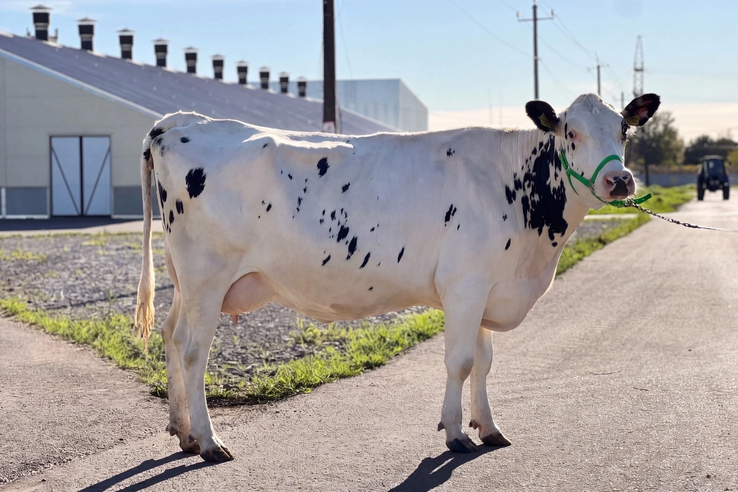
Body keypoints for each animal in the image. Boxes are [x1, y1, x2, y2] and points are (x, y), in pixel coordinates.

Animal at [136, 93, 660, 462]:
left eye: (623, 130)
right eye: (570, 132)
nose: (620, 180)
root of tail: (183, 121)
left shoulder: (489, 287)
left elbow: (485, 363)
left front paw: (488, 427)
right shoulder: (465, 285)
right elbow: (461, 363)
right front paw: (455, 434)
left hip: (185, 280)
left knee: (170, 335)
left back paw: (183, 432)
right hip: (207, 276)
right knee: (194, 351)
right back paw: (208, 442)